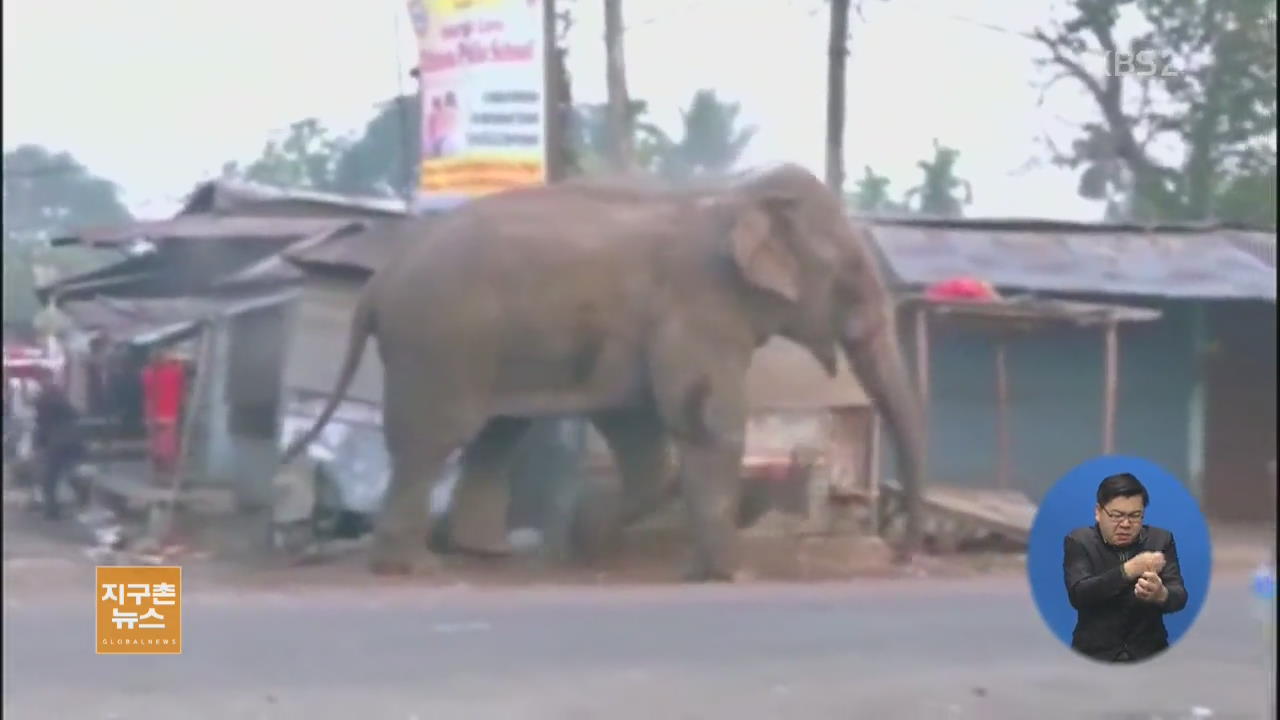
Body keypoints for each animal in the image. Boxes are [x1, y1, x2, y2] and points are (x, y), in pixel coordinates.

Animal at [280, 165, 926, 579]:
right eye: (849, 277)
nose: (905, 554)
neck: (733, 202)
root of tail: (379, 281)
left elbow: (640, 430)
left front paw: (583, 540)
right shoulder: (698, 306)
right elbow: (705, 421)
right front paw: (723, 576)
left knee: (495, 434)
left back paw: (486, 555)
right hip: (439, 344)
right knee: (434, 439)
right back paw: (413, 566)